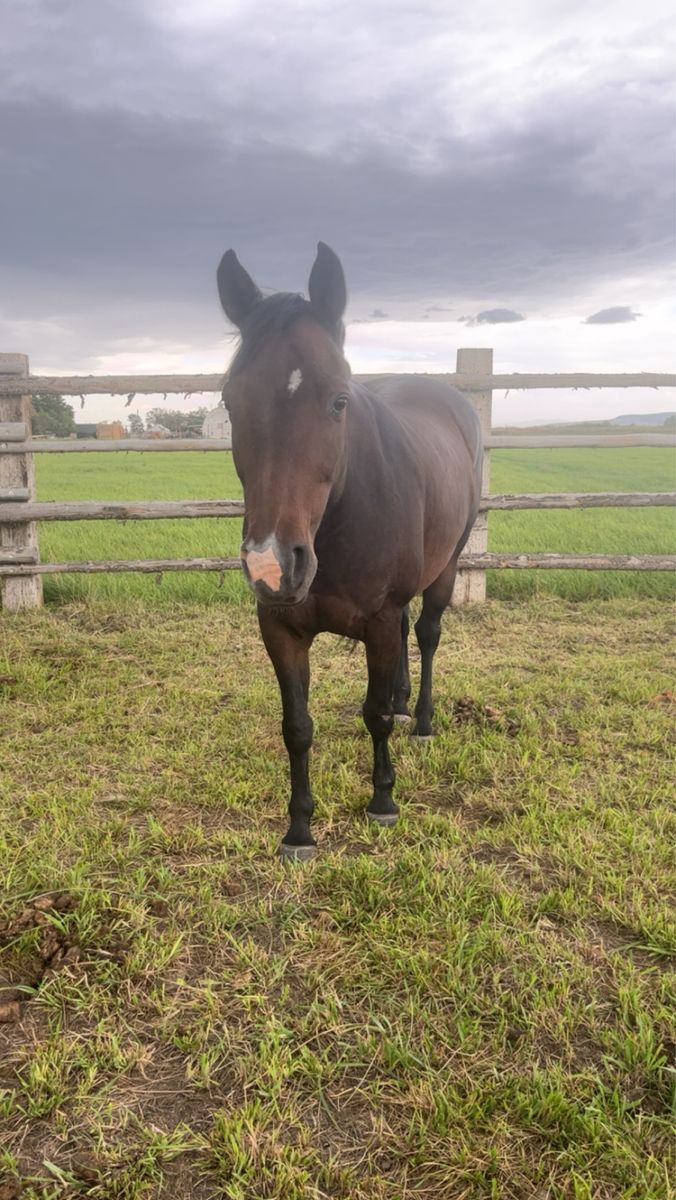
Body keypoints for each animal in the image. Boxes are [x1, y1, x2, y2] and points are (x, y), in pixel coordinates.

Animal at [217, 242, 482, 859]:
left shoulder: (379, 621)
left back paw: (422, 719)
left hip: (447, 567)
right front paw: (299, 829)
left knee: (427, 634)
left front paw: (382, 801)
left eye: (339, 401)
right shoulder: (280, 627)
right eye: (230, 402)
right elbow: (297, 727)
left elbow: (374, 715)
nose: (272, 564)